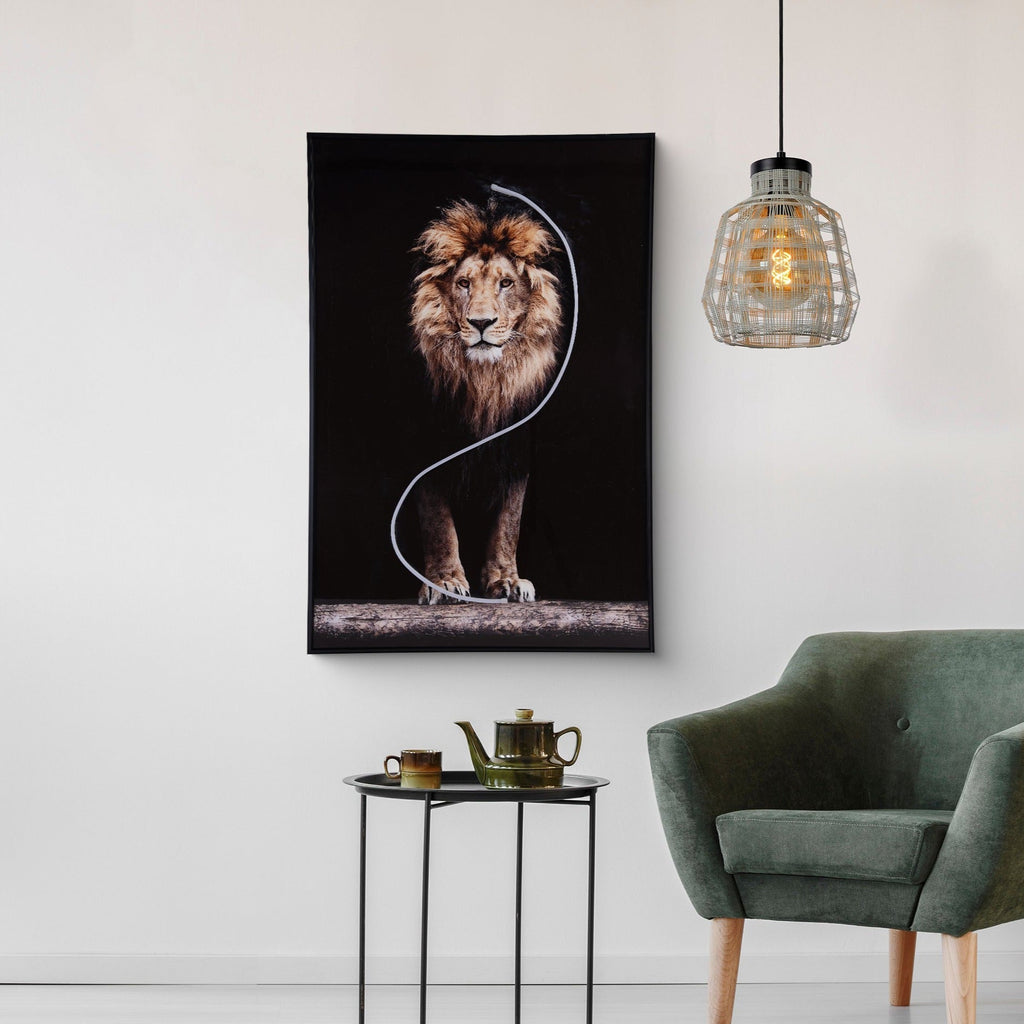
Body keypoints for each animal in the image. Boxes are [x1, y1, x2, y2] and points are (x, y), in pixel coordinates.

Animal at [409, 198, 563, 605]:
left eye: (505, 283)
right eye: (463, 284)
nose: (481, 322)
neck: (485, 383)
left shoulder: (516, 452)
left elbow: (508, 524)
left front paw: (507, 580)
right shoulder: (428, 447)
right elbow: (438, 523)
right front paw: (445, 582)